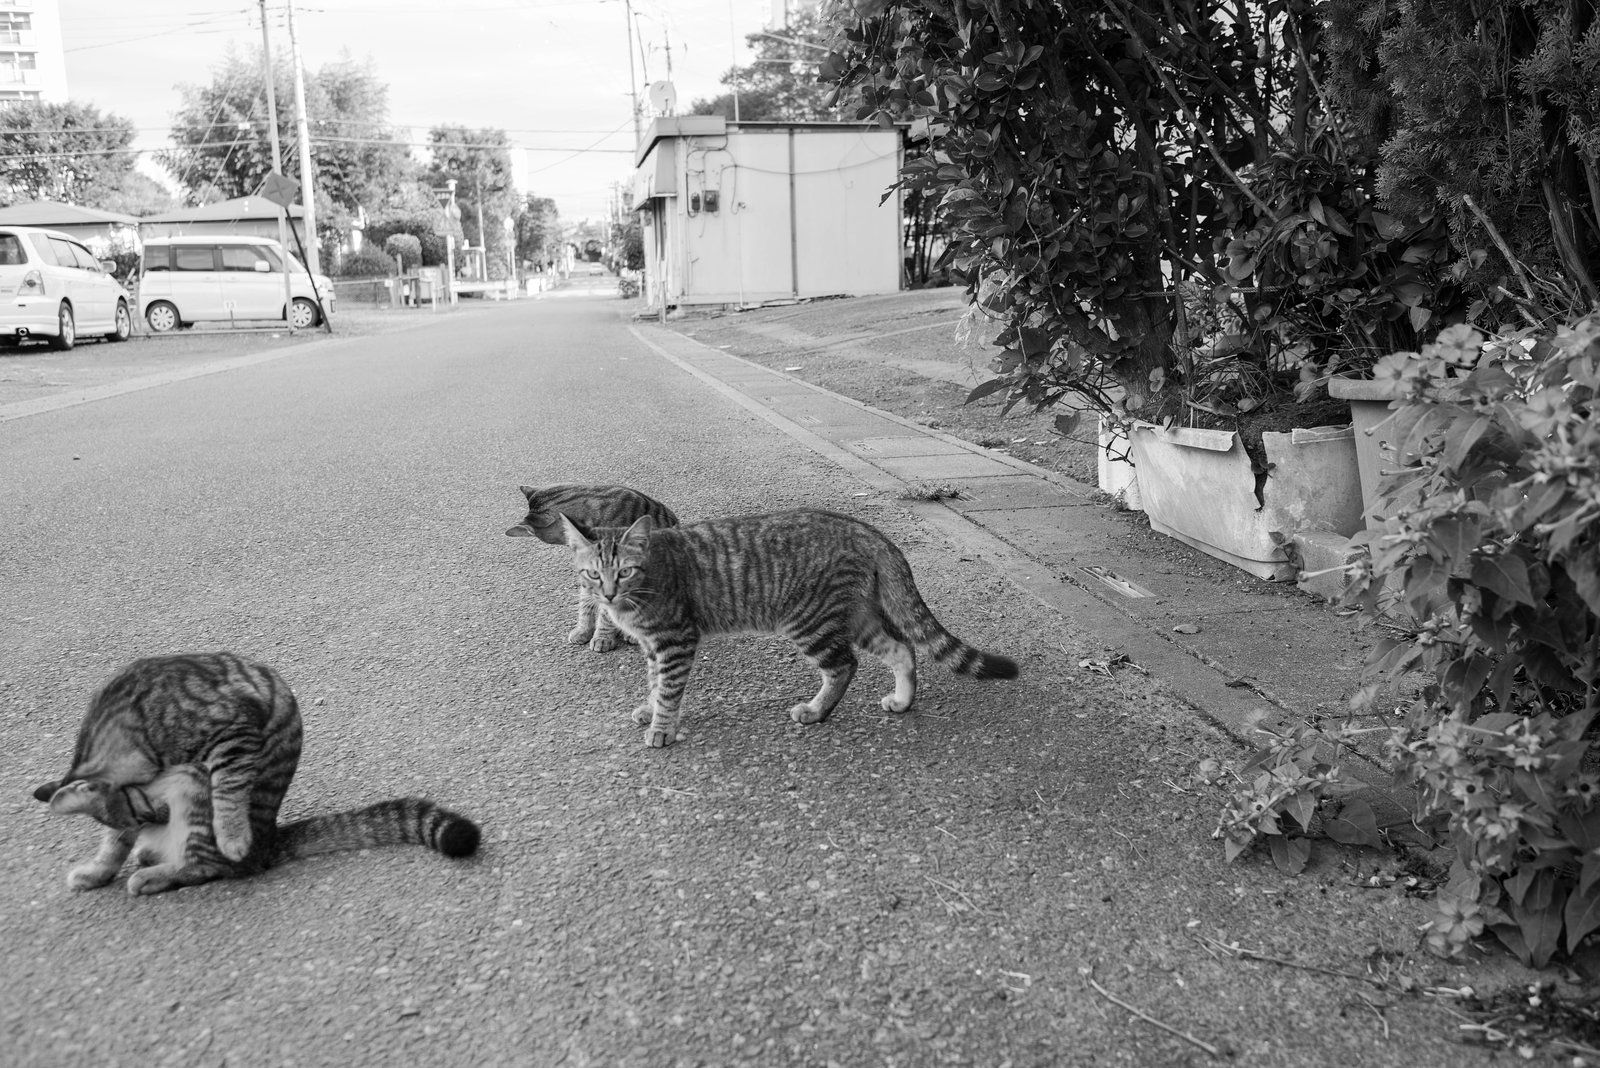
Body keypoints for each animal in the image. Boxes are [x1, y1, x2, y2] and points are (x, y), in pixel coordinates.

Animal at [563, 508, 1011, 741]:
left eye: (624, 572)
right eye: (592, 574)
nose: (606, 595)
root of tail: (864, 528)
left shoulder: (676, 640)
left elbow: (669, 690)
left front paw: (662, 729)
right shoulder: (654, 646)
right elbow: (656, 683)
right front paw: (650, 708)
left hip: (809, 621)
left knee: (845, 665)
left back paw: (816, 710)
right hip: (857, 616)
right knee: (902, 648)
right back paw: (901, 701)